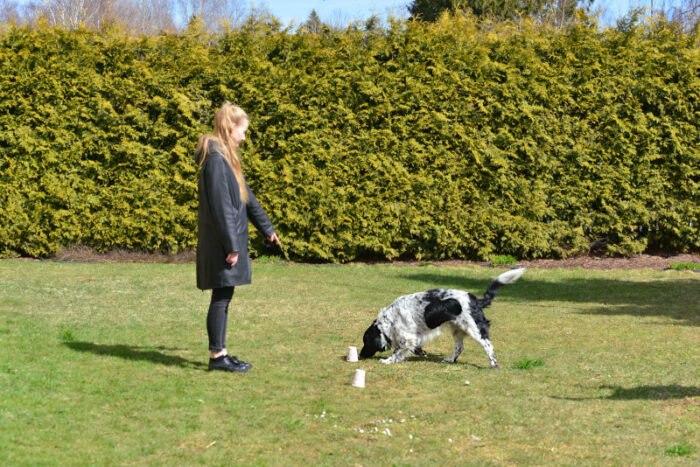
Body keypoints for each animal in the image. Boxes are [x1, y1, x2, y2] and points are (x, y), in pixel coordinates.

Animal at [360, 268, 526, 368]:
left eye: (366, 342)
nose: (360, 355)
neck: (389, 320)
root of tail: (476, 301)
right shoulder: (416, 336)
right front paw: (421, 352)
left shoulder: (407, 337)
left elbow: (397, 352)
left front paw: (387, 360)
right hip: (457, 329)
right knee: (459, 347)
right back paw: (451, 360)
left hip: (475, 330)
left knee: (488, 346)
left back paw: (494, 364)